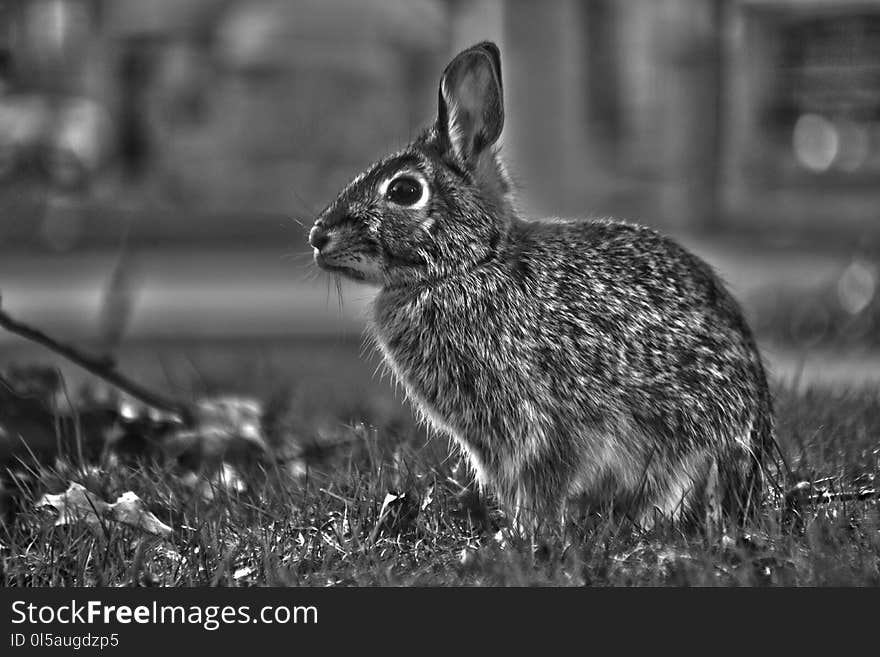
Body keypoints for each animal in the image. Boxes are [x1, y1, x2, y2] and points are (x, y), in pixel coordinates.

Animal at [306, 41, 772, 532]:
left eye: (404, 191)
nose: (319, 237)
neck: (473, 263)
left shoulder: (536, 423)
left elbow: (541, 482)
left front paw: (523, 533)